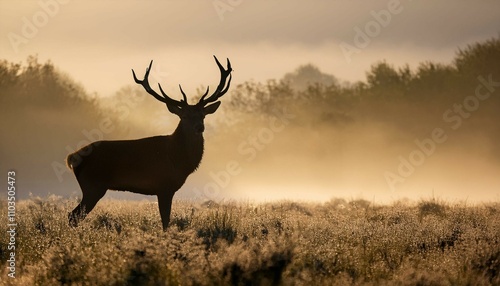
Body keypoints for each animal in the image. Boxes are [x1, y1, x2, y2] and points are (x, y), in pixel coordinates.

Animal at [66, 55, 232, 230]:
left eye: (203, 115)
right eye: (185, 115)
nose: (199, 127)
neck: (178, 160)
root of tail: (72, 157)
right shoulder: (164, 186)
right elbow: (165, 220)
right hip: (93, 185)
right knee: (73, 215)